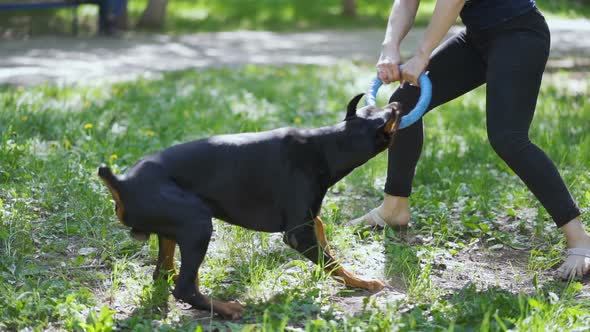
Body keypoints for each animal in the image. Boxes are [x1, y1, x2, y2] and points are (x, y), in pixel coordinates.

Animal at [98, 94, 402, 320]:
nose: (397, 103)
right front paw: (362, 283)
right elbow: (332, 263)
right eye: (388, 116)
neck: (327, 146)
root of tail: (121, 183)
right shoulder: (298, 232)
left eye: (374, 108)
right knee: (183, 288)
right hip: (197, 224)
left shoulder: (311, 220)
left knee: (165, 273)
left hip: (174, 229)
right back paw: (227, 309)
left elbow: (327, 246)